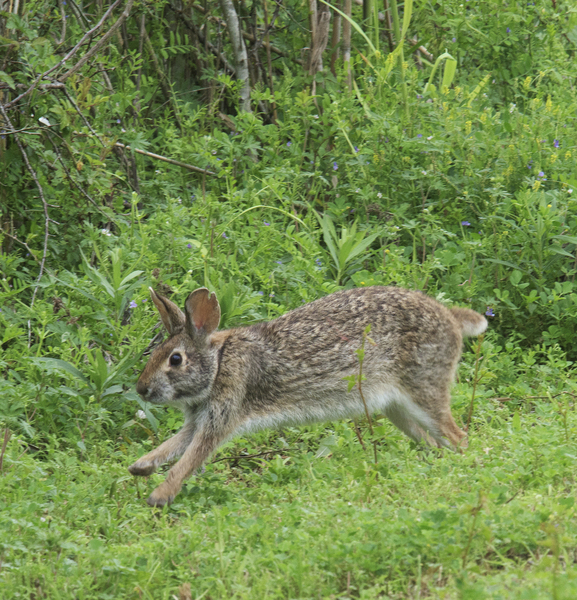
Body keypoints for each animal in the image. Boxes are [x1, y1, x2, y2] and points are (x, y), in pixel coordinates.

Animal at [129, 286, 486, 506]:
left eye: (175, 359)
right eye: (154, 354)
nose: (142, 389)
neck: (218, 364)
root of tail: (451, 318)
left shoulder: (222, 414)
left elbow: (189, 458)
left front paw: (160, 496)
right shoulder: (199, 419)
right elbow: (173, 445)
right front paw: (140, 467)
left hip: (424, 388)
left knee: (457, 436)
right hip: (397, 408)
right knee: (432, 441)